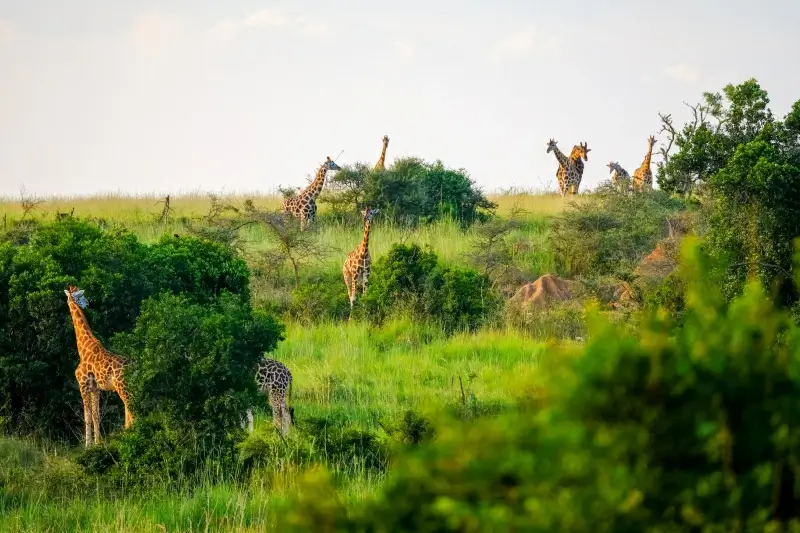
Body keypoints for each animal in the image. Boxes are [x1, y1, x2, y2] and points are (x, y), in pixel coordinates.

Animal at [65, 284, 134, 446]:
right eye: (81, 296)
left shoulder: (83, 384)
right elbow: (96, 415)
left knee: (131, 407)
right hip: (128, 387)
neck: (83, 348)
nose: (87, 303)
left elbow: (87, 416)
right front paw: (97, 442)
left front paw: (87, 445)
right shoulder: (95, 388)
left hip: (122, 387)